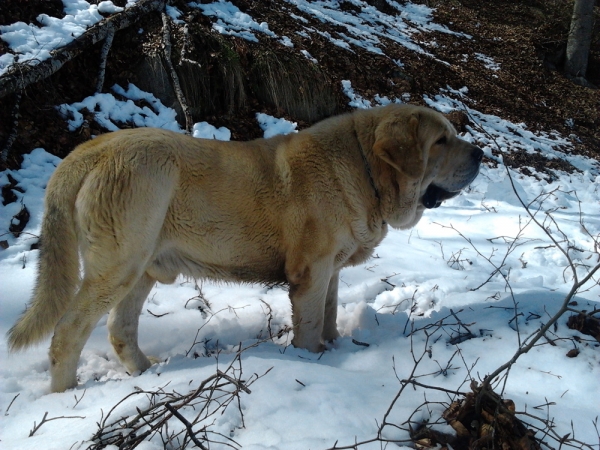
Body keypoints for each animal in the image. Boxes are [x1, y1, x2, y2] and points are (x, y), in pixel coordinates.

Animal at [5, 103, 482, 392]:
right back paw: (67, 394)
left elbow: (328, 316)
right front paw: (314, 363)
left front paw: (333, 349)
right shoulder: (311, 272)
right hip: (117, 266)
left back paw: (145, 373)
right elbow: (310, 325)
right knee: (68, 332)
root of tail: (89, 149)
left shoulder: (330, 271)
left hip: (142, 269)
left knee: (119, 328)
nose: (479, 153)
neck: (366, 170)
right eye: (440, 141)